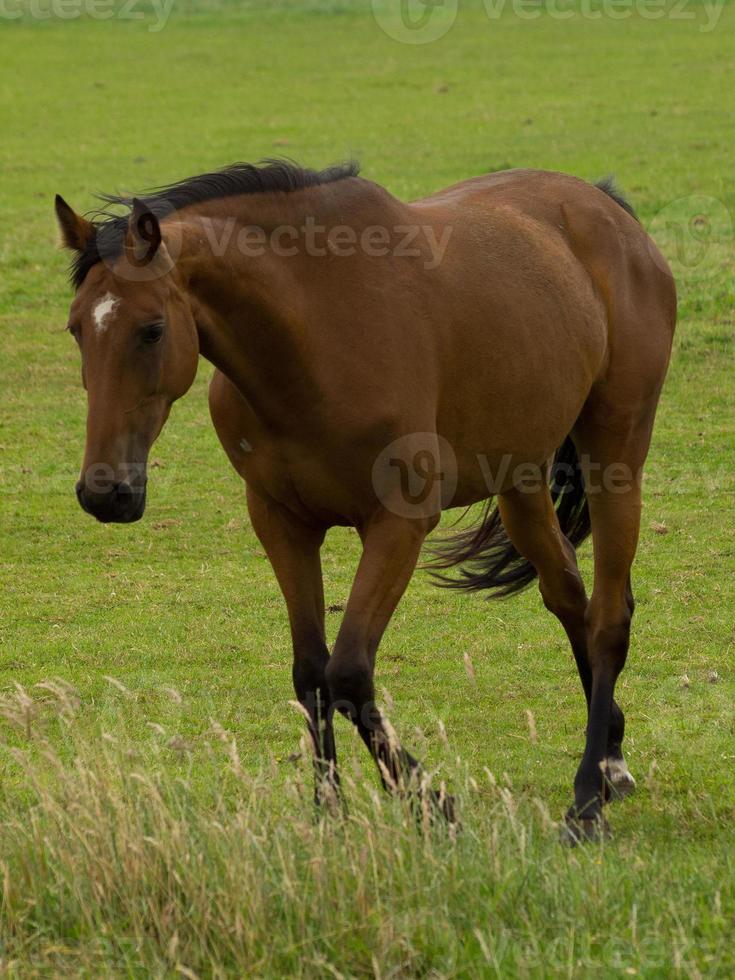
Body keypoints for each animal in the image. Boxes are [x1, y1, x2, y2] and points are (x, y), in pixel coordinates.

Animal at [56, 161, 680, 844]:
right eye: (76, 328)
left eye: (152, 329)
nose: (105, 491)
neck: (313, 340)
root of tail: (608, 210)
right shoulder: (282, 524)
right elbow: (311, 674)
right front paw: (328, 812)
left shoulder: (398, 525)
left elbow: (349, 672)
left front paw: (432, 802)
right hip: (521, 480)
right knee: (569, 595)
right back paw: (610, 758)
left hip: (615, 458)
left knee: (608, 618)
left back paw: (587, 800)